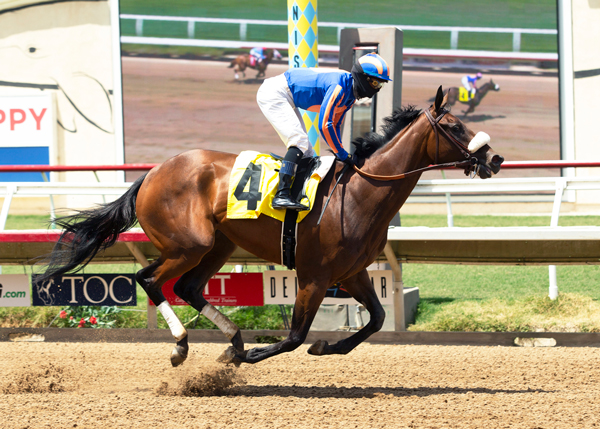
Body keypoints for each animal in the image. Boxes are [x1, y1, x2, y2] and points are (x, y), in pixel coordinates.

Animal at [37, 88, 502, 368]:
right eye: (454, 126)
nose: (493, 159)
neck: (359, 194)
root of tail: (151, 174)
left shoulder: (352, 273)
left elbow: (376, 319)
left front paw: (326, 345)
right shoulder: (314, 275)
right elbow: (294, 336)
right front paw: (251, 356)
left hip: (219, 245)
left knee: (188, 287)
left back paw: (234, 338)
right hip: (189, 244)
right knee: (149, 279)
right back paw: (184, 344)